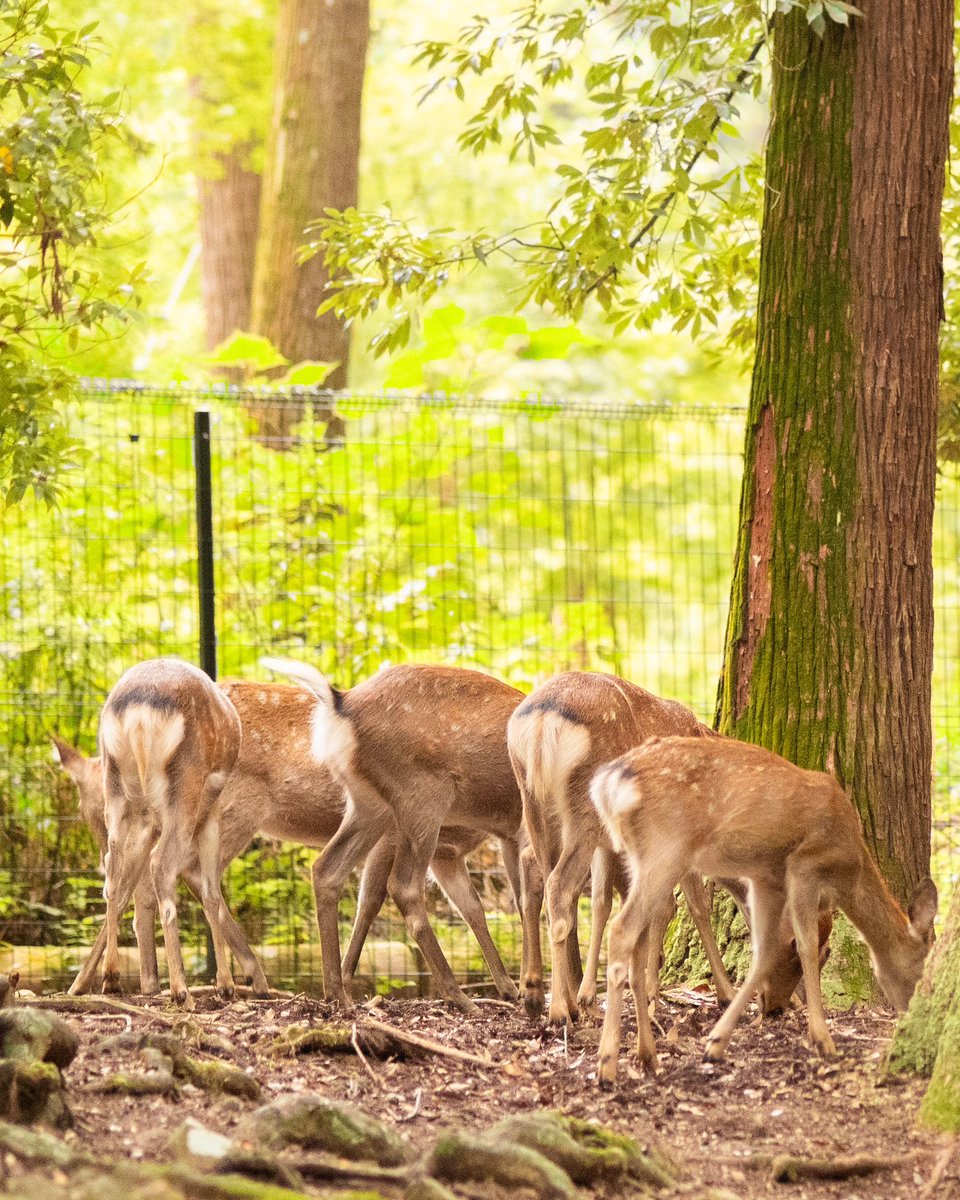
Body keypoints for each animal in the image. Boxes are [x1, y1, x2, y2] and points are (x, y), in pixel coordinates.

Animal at [56, 679, 522, 1003]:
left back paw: (125, 982)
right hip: (234, 808)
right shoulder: (408, 835)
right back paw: (238, 977)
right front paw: (344, 977)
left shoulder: (440, 850)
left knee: (140, 878)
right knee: (179, 871)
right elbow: (375, 899)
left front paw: (507, 984)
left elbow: (469, 908)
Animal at [261, 657, 532, 1015]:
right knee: (403, 887)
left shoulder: (507, 836)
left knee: (327, 869)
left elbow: (509, 904)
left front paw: (520, 989)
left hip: (370, 805)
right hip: (423, 795)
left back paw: (338, 994)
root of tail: (339, 702)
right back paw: (458, 996)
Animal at [590, 734, 938, 1086]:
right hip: (666, 848)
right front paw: (823, 1039)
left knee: (636, 944)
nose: (911, 1015)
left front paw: (716, 1044)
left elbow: (765, 951)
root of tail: (609, 781)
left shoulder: (765, 879)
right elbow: (806, 945)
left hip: (638, 855)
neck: (850, 873)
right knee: (621, 930)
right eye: (922, 971)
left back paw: (648, 1055)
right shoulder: (804, 867)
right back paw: (606, 1066)